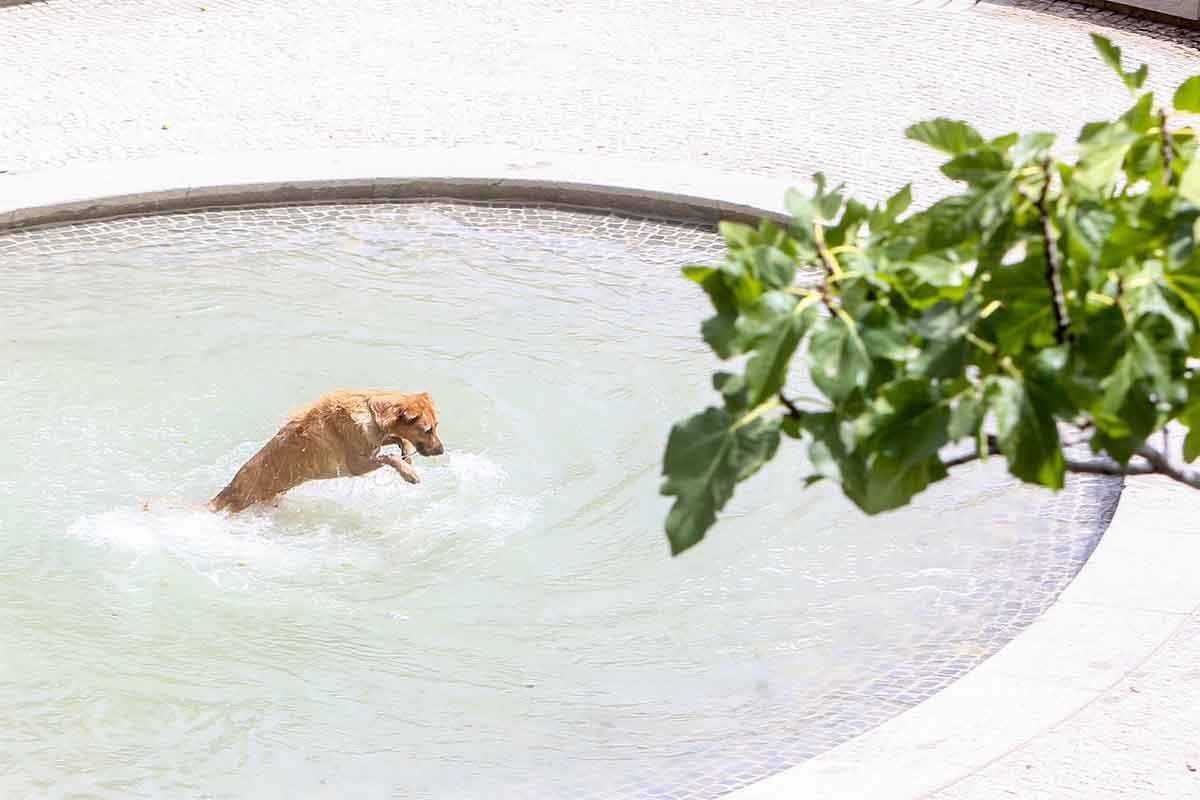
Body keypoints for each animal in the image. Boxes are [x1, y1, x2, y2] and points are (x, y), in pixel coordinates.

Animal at [211, 388, 446, 513]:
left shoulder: (374, 441)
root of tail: (229, 490)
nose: (442, 450)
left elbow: (398, 439)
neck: (371, 412)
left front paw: (407, 457)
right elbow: (388, 456)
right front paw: (409, 473)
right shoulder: (356, 466)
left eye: (436, 426)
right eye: (427, 429)